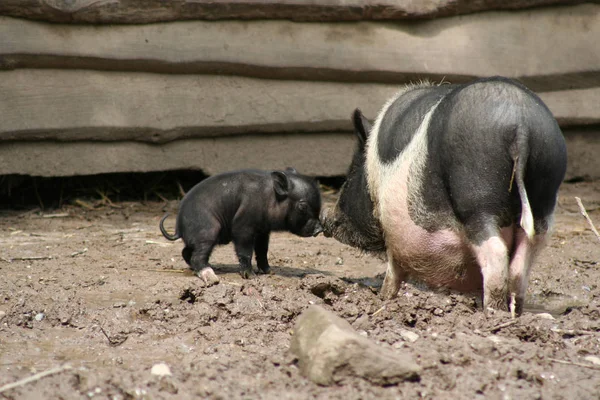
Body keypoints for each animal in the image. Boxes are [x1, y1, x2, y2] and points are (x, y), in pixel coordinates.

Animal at [159, 169, 324, 282]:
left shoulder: (263, 231)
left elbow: (262, 251)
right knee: (196, 256)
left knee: (186, 252)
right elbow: (245, 251)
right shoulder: (243, 227)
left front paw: (269, 272)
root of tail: (179, 226)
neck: (270, 198)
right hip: (208, 232)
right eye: (302, 206)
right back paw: (212, 277)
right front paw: (251, 277)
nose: (319, 229)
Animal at [322, 75, 564, 312]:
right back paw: (514, 312)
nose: (327, 221)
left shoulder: (392, 227)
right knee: (522, 261)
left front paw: (384, 298)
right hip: (543, 193)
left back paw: (491, 312)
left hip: (476, 197)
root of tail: (519, 125)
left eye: (350, 176)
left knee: (495, 254)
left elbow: (393, 269)